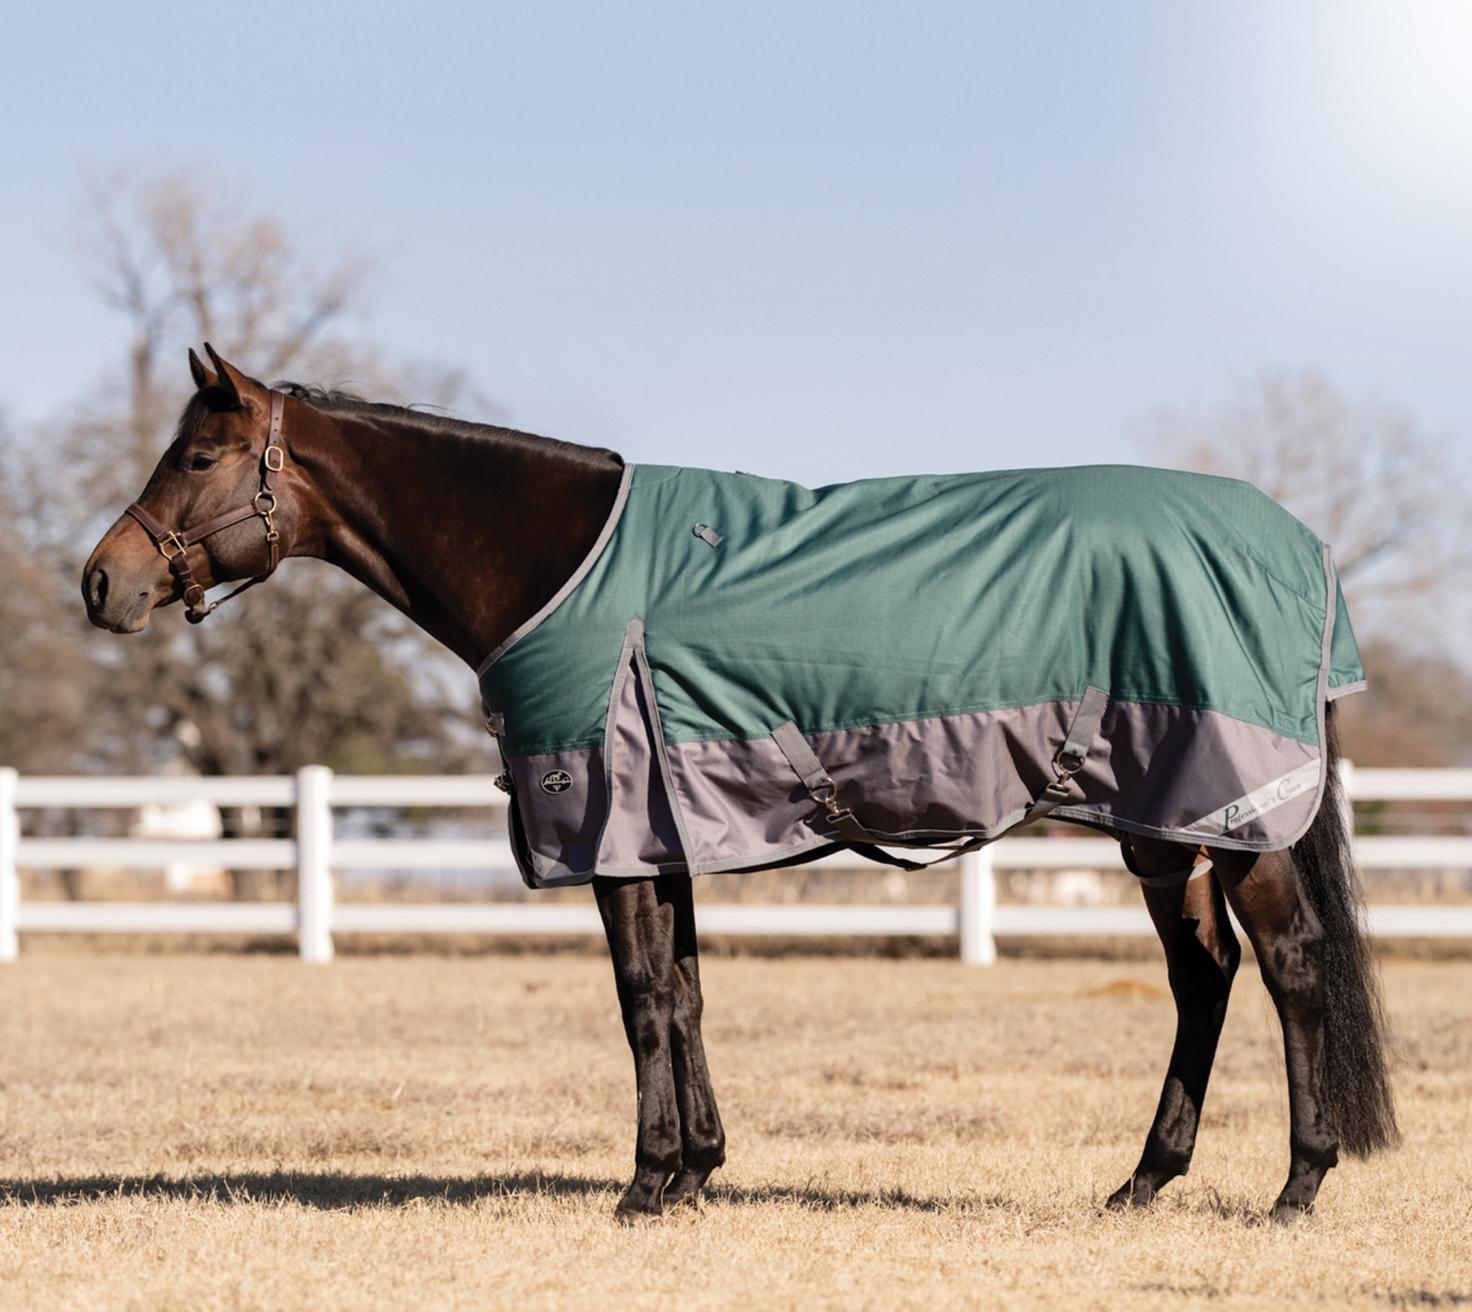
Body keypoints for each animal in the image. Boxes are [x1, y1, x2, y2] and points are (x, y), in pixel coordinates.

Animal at [82, 346, 1397, 1222]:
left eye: (196, 455)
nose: (101, 583)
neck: (559, 565)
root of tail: (1300, 548)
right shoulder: (663, 830)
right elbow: (686, 993)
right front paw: (697, 1169)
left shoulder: (609, 828)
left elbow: (638, 1000)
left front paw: (643, 1184)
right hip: (1156, 822)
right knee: (1200, 974)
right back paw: (1143, 1180)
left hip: (1234, 815)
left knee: (1286, 967)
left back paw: (1294, 1185)